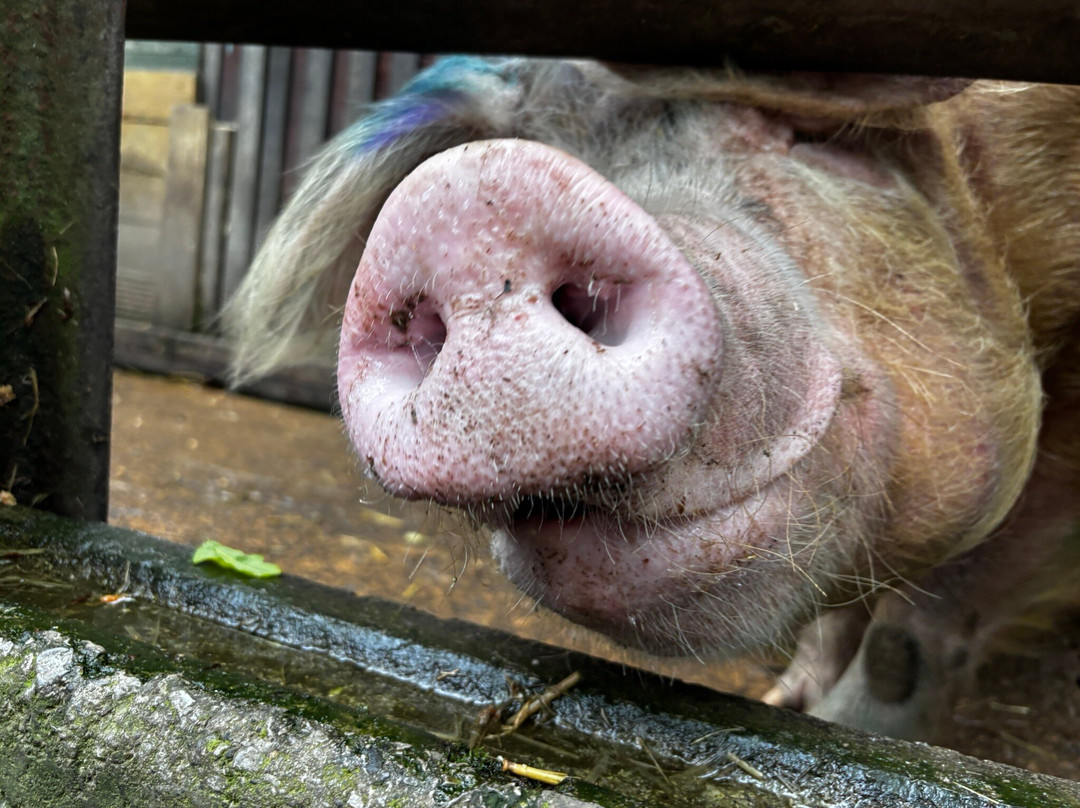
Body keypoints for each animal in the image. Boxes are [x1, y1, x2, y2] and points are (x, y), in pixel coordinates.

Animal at [226, 56, 1080, 742]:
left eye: (816, 138)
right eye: (554, 143)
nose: (472, 189)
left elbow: (914, 635)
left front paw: (851, 733)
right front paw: (789, 701)